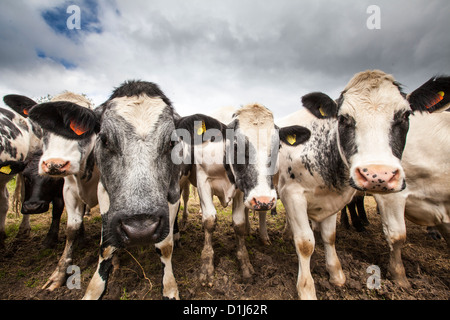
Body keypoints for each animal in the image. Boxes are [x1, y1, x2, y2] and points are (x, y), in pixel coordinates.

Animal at [26, 80, 184, 300]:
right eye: (105, 139)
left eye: (171, 142)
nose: (140, 229)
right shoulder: (96, 192)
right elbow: (103, 244)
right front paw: (92, 287)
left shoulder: (173, 193)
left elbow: (165, 246)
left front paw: (169, 288)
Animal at [175, 104, 310, 284]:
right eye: (236, 145)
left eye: (278, 147)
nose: (263, 200)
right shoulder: (203, 179)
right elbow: (209, 221)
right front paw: (206, 265)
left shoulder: (241, 189)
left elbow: (238, 224)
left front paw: (244, 262)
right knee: (185, 198)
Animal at [278, 70, 450, 300]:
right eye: (343, 118)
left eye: (405, 116)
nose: (378, 175)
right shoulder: (292, 194)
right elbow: (305, 244)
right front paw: (306, 289)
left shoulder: (333, 199)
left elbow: (329, 237)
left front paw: (336, 274)